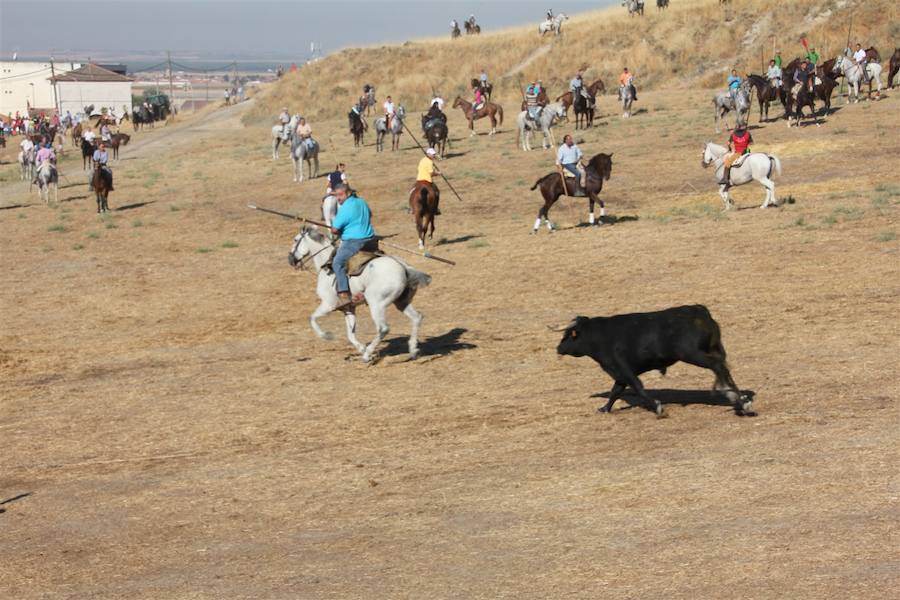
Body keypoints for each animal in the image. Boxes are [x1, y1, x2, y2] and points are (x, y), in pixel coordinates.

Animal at [286, 227, 430, 360]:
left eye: (295, 240)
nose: (290, 259)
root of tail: (403, 266)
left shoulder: (328, 304)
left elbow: (312, 318)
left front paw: (327, 336)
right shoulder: (348, 308)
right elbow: (350, 333)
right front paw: (361, 347)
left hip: (376, 304)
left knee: (383, 328)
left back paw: (367, 355)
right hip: (401, 302)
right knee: (417, 318)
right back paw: (413, 350)